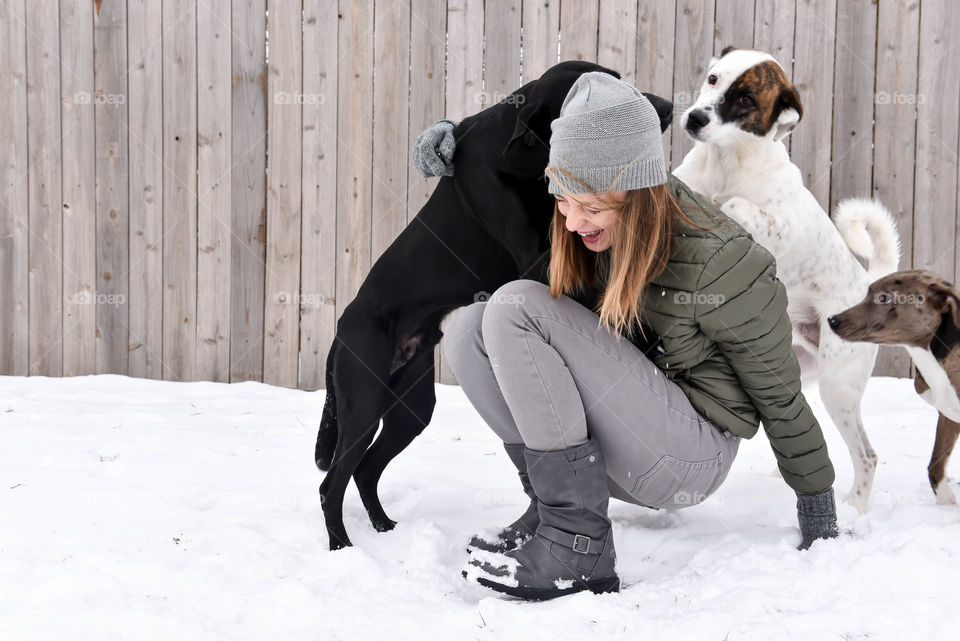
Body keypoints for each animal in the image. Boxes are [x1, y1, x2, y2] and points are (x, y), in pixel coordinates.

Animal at [314, 61, 668, 552]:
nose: (668, 108)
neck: (527, 155)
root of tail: (341, 327)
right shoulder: (538, 258)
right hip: (364, 404)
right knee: (332, 482)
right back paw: (342, 548)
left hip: (410, 410)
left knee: (366, 470)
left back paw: (383, 526)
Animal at [824, 268, 960, 502]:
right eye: (868, 292)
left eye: (884, 298)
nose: (832, 320)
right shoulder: (948, 415)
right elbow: (935, 467)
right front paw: (947, 501)